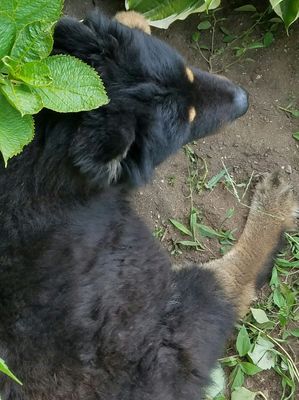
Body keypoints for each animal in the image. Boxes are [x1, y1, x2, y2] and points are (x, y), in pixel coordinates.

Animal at [0, 10, 296, 398]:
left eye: (190, 73)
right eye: (187, 121)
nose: (245, 99)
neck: (49, 147)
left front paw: (132, 17)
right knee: (235, 280)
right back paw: (274, 205)